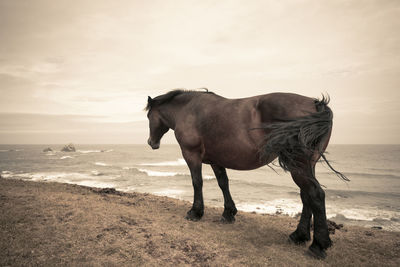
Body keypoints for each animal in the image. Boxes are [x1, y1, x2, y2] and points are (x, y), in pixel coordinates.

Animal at [145, 90, 348, 260]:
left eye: (148, 116)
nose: (151, 143)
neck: (188, 109)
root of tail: (316, 104)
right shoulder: (217, 160)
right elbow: (223, 183)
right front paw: (228, 213)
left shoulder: (191, 155)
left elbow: (197, 182)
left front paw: (195, 212)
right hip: (306, 165)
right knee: (306, 195)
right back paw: (299, 235)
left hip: (299, 165)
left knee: (315, 194)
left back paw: (318, 245)